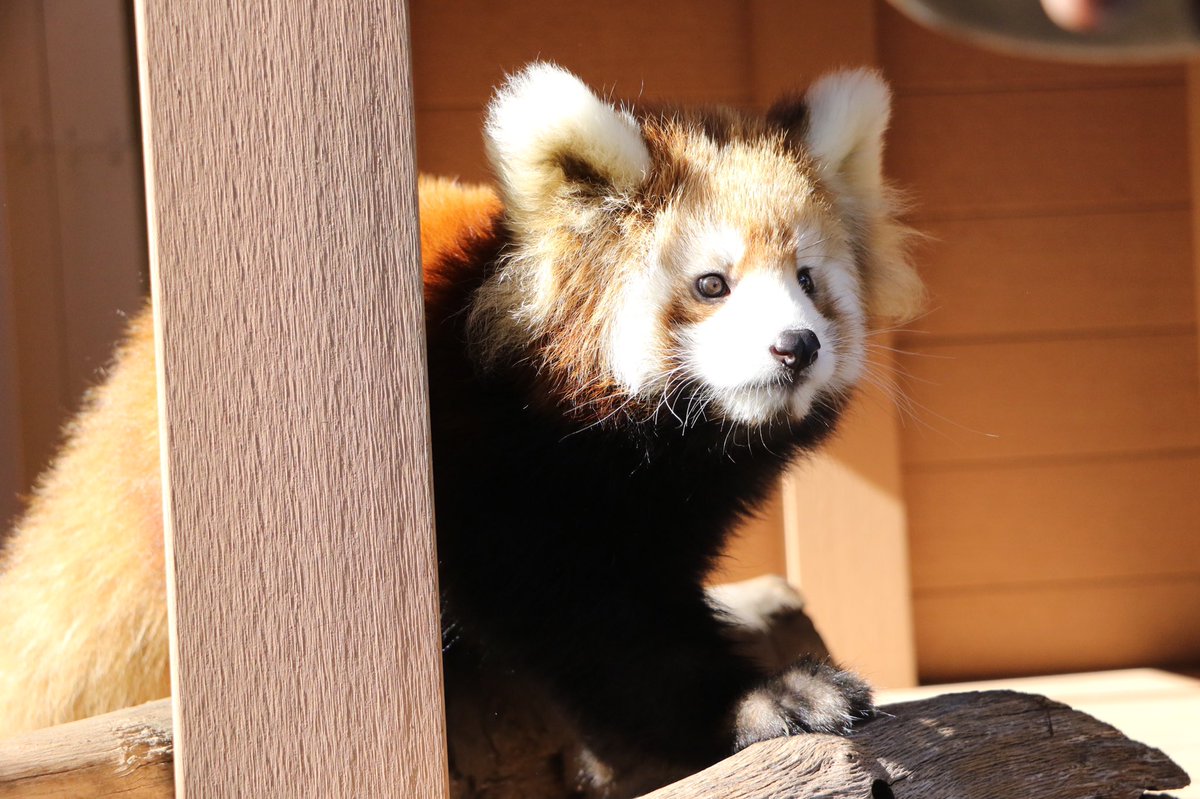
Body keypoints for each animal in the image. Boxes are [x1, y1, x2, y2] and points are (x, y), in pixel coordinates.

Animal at [0, 63, 916, 782]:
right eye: (713, 284)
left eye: (808, 279)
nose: (796, 346)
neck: (643, 455)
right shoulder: (487, 471)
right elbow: (591, 621)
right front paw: (764, 696)